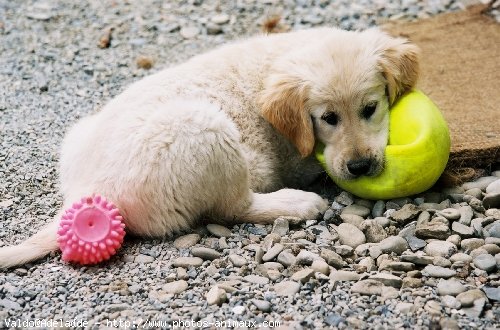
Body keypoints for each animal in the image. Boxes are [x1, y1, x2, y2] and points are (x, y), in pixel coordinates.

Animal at [0, 26, 418, 268]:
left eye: (370, 108)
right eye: (327, 118)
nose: (360, 167)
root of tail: (86, 195)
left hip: (77, 132)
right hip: (204, 130)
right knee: (232, 207)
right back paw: (296, 203)